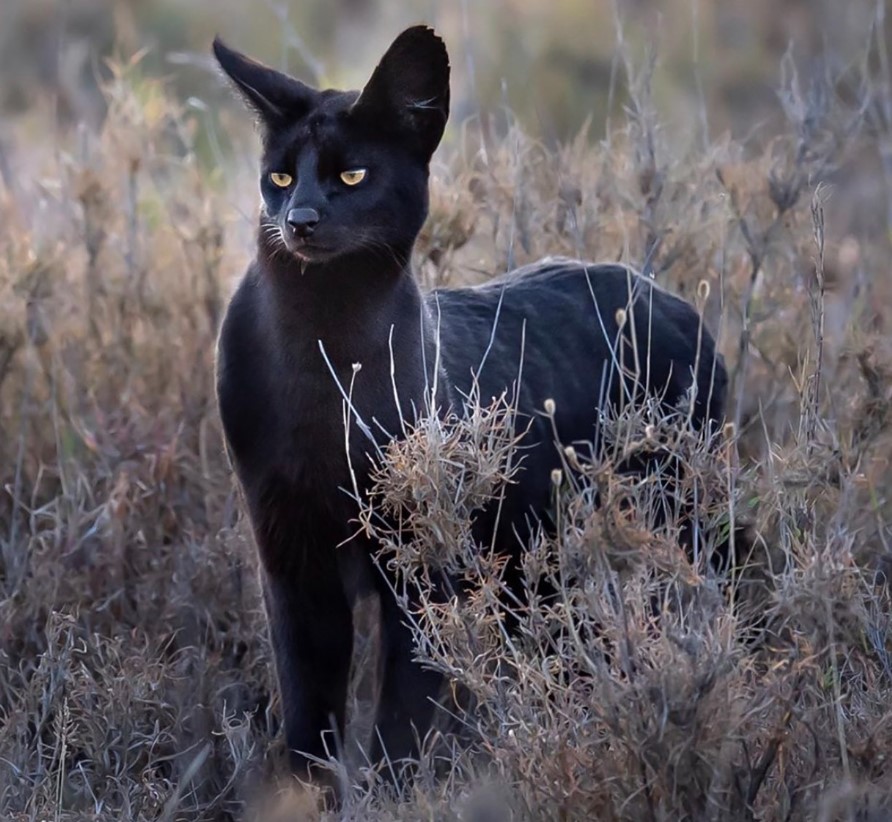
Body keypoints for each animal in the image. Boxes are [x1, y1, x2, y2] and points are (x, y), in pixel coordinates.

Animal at [213, 24, 728, 784]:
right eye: (279, 177)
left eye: (352, 176)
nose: (300, 218)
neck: (322, 346)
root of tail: (672, 299)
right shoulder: (290, 556)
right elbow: (309, 711)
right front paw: (304, 795)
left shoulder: (421, 567)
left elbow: (402, 712)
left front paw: (395, 792)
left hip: (672, 521)